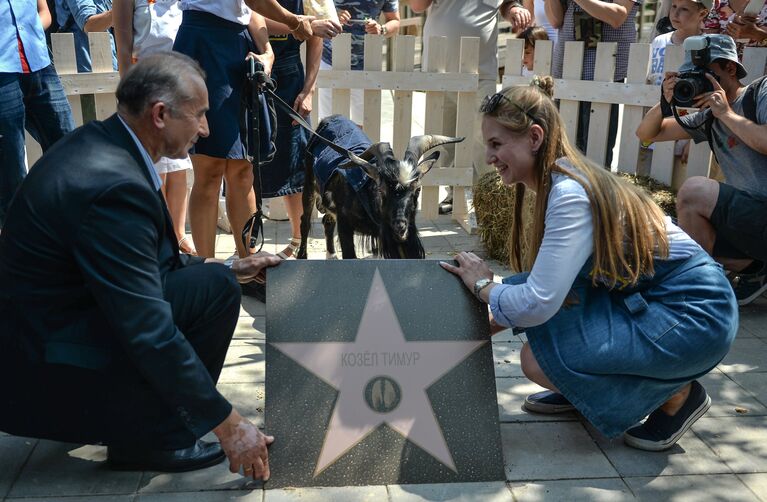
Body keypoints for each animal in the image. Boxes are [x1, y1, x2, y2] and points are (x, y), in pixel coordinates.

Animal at [296, 116, 462, 260]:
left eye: (417, 190)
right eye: (382, 190)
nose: (400, 226)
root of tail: (329, 118)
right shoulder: (345, 224)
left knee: (327, 221)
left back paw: (331, 256)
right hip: (309, 182)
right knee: (305, 221)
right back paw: (302, 256)